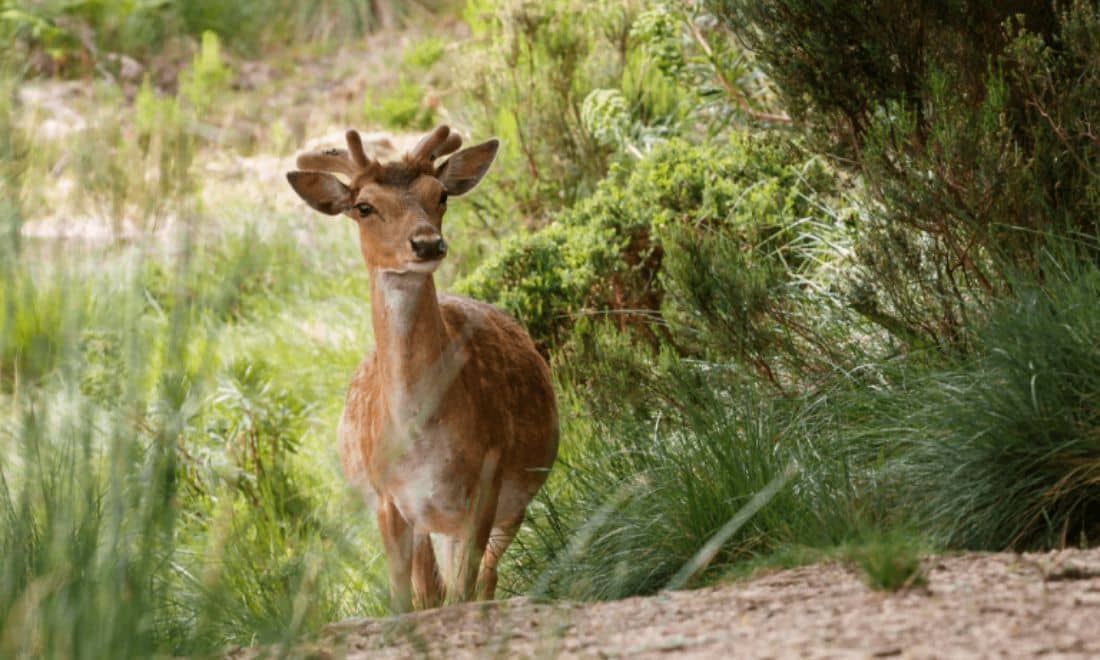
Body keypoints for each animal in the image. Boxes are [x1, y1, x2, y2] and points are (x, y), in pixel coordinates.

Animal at [286, 126, 558, 611]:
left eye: (441, 195)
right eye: (364, 206)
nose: (427, 243)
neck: (420, 434)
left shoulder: (486, 477)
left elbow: (464, 589)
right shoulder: (388, 497)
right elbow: (405, 598)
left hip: (511, 503)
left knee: (485, 577)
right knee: (435, 584)